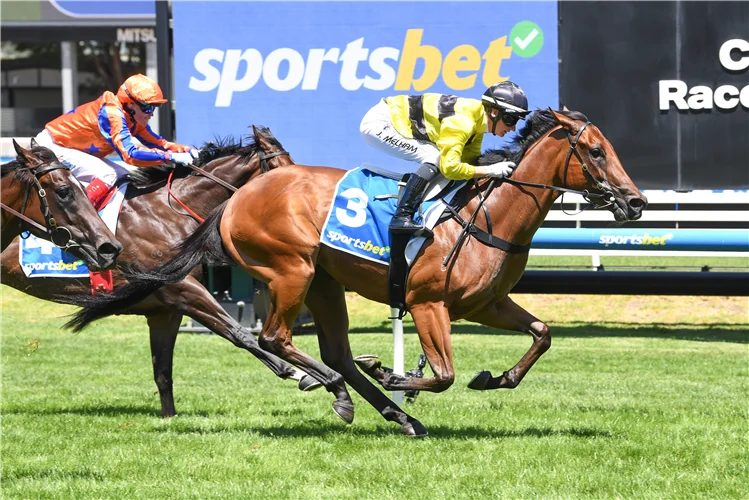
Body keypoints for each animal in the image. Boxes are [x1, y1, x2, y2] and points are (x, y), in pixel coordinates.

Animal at [63, 109, 648, 436]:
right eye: (595, 151)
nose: (636, 202)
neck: (489, 217)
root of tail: (236, 200)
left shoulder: (485, 304)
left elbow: (542, 333)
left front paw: (495, 377)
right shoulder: (427, 302)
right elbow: (442, 374)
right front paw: (394, 373)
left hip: (324, 281)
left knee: (334, 350)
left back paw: (395, 414)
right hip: (291, 271)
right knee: (275, 338)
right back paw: (339, 390)